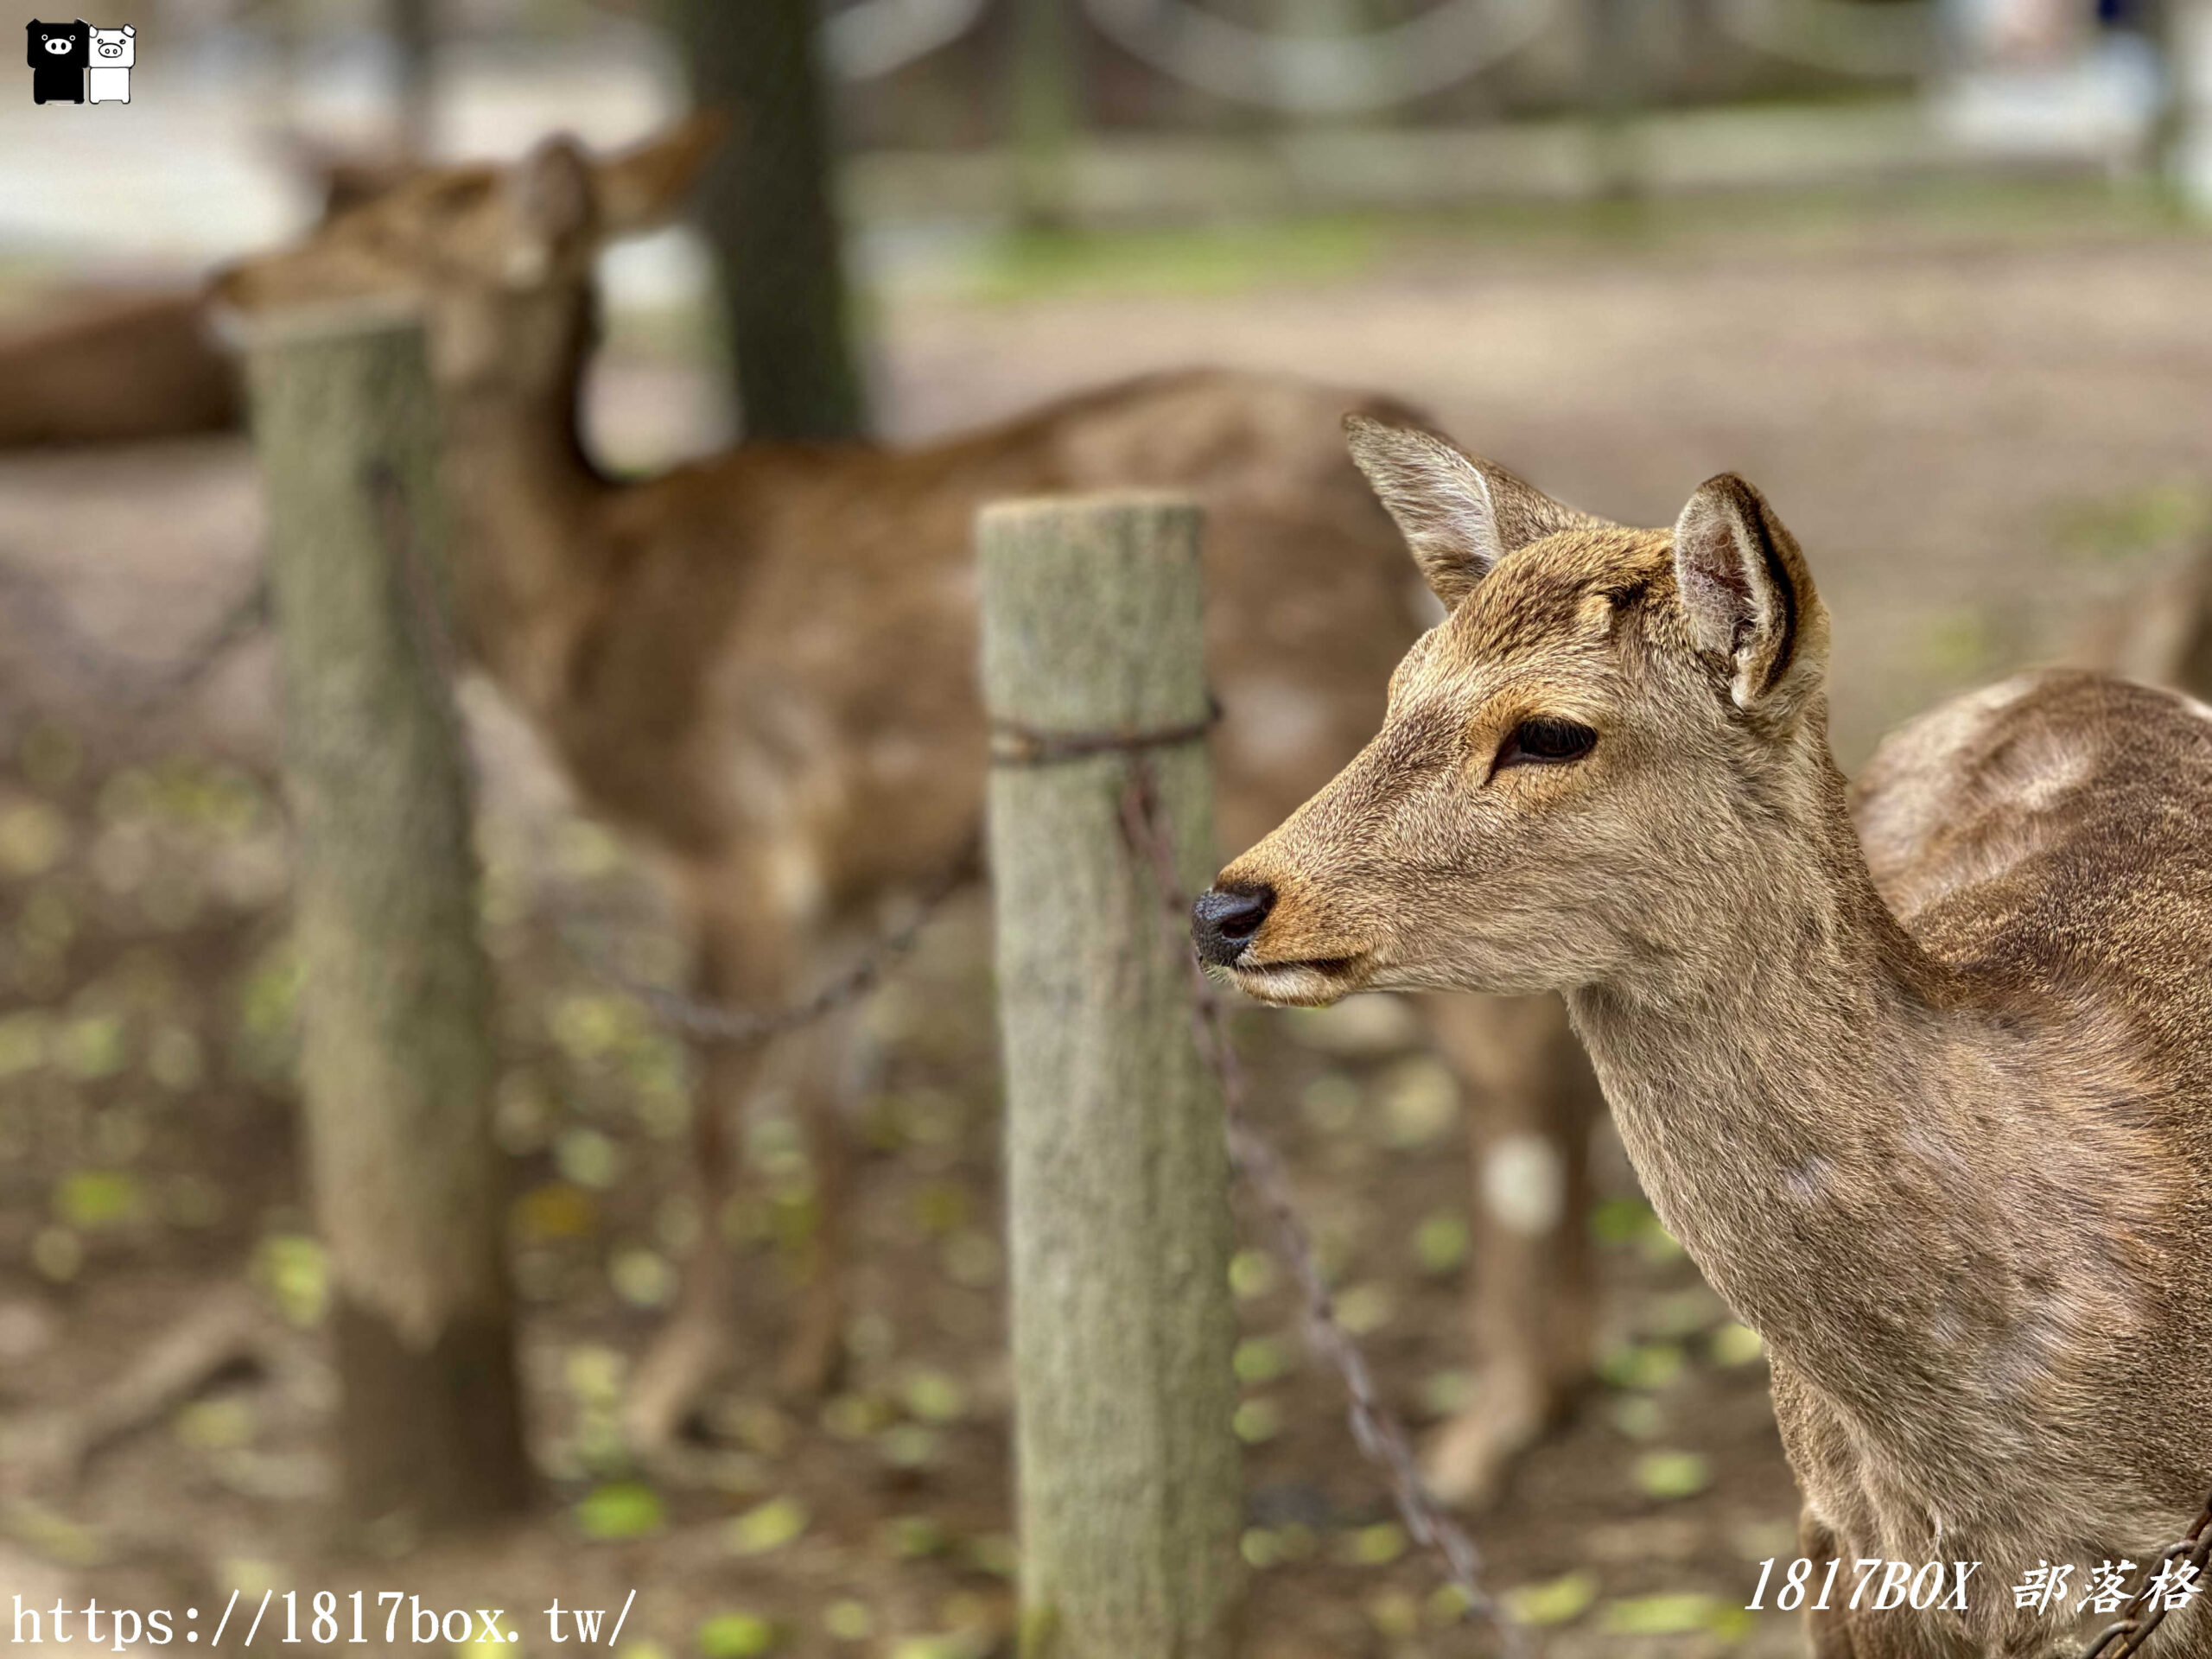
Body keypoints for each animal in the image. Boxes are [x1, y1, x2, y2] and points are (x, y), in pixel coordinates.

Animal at [211, 119, 1610, 1495]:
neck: (579, 621)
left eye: (395, 232)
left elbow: (717, 1105)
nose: (230, 284)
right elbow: (829, 1096)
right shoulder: (843, 874)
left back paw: (1492, 1418)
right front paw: (815, 1365)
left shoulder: (728, 837)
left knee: (1507, 1043)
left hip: (1318, 756)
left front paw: (666, 1395)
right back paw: (1565, 1374)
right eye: (355, 199)